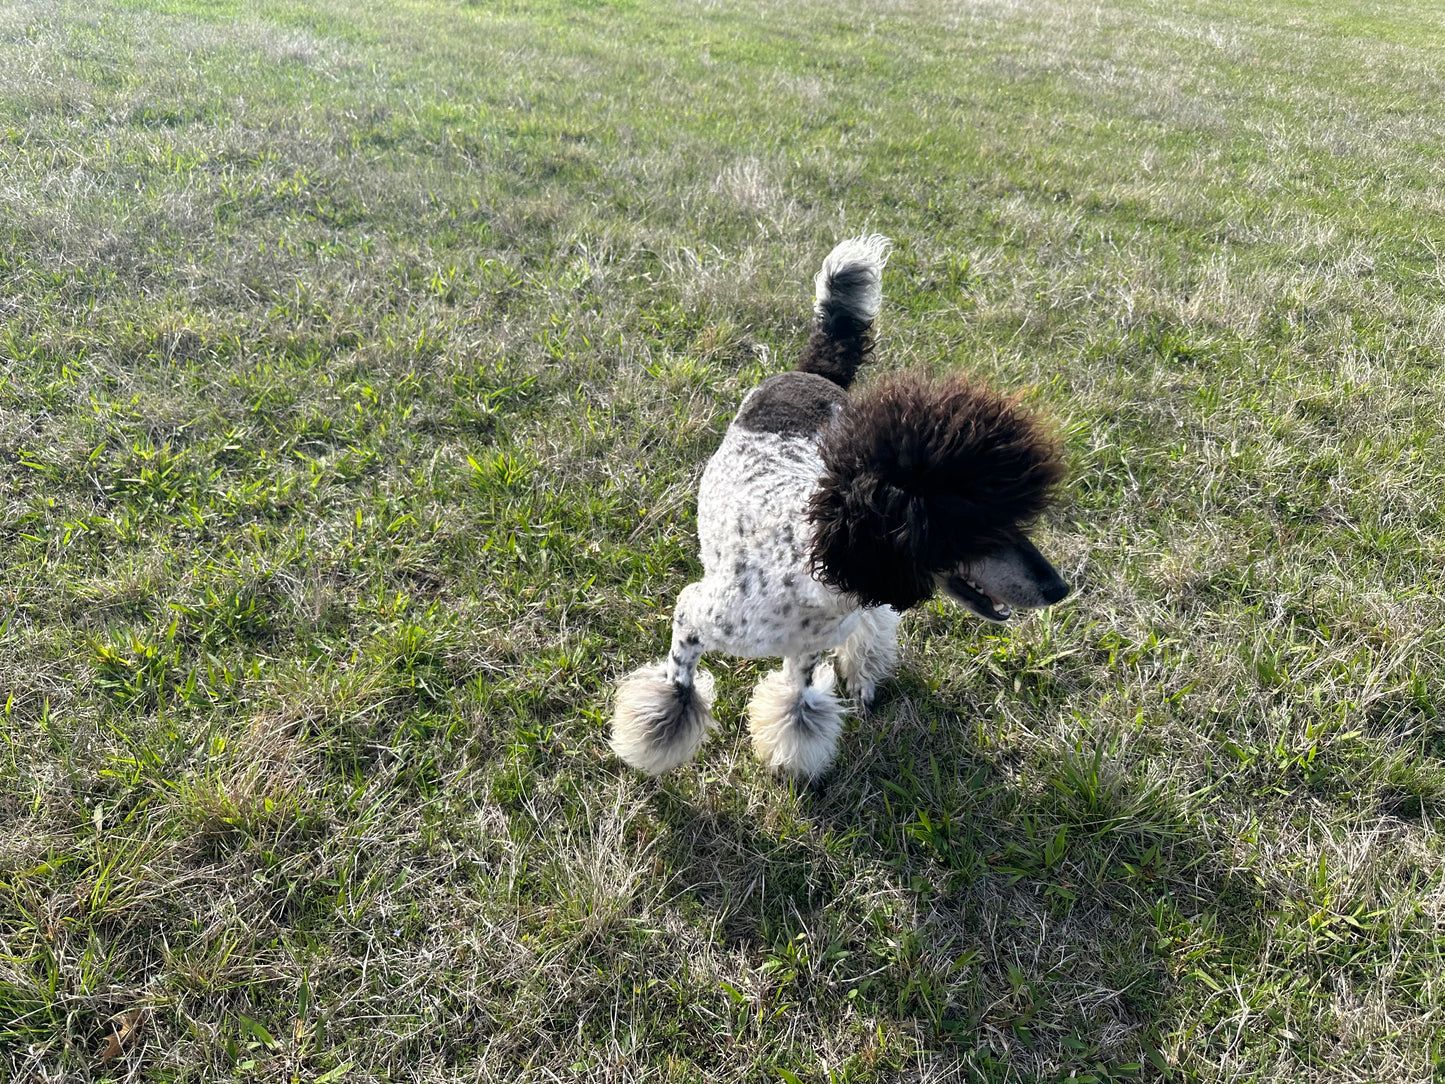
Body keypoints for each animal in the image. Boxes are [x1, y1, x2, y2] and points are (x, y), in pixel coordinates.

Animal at [609, 237, 1075, 780]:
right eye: (978, 524)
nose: (1058, 589)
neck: (807, 563)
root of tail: (813, 371)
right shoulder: (693, 614)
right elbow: (678, 685)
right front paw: (657, 741)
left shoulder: (808, 648)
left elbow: (798, 703)